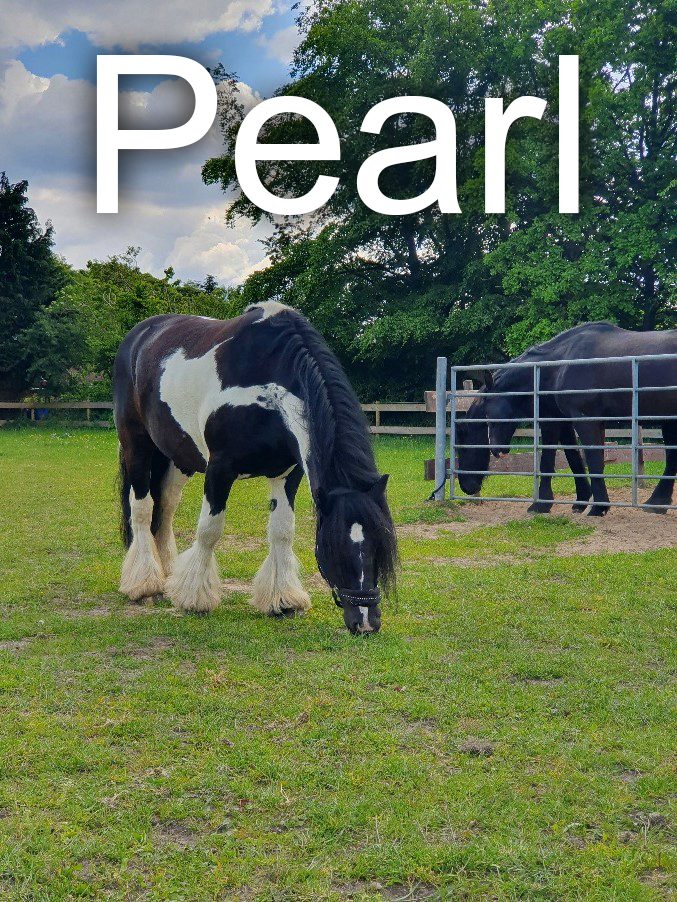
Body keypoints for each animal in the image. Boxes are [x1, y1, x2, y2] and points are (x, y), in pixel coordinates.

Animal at [113, 302, 397, 634]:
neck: (267, 387)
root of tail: (139, 335)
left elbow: (282, 531)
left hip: (177, 457)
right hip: (137, 446)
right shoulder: (219, 469)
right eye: (336, 547)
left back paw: (168, 576)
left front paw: (283, 601)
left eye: (380, 546)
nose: (366, 623)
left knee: (166, 508)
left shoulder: (287, 474)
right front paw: (195, 599)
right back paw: (146, 585)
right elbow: (208, 530)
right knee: (142, 509)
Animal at [456, 322, 677, 516]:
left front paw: (596, 507)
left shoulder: (581, 420)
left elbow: (585, 461)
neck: (556, 367)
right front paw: (580, 501)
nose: (466, 486)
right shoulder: (562, 420)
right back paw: (657, 503)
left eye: (464, 442)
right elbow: (574, 458)